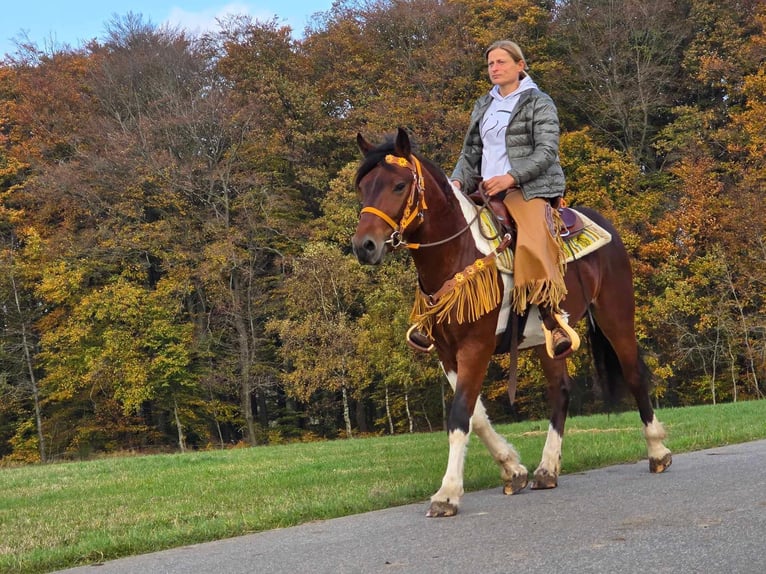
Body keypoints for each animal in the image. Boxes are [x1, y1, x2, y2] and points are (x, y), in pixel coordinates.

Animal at [352, 128, 676, 520]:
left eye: (399, 185)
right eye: (362, 187)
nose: (364, 246)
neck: (459, 253)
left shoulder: (476, 346)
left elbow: (460, 414)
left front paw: (447, 493)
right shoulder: (447, 352)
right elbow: (476, 415)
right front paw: (513, 469)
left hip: (616, 315)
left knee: (632, 373)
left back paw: (657, 452)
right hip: (548, 339)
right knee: (561, 391)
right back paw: (546, 469)